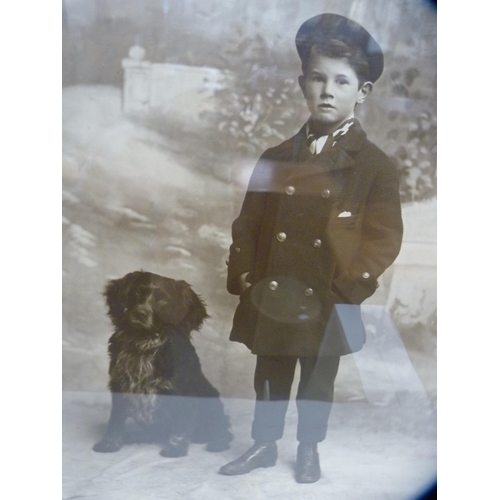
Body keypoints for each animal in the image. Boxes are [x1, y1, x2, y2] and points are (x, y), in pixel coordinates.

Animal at [92, 270, 232, 458]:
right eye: (138, 292)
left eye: (163, 300)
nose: (140, 313)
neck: (144, 343)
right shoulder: (119, 383)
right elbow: (116, 419)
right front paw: (109, 443)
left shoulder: (181, 390)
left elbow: (181, 423)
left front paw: (175, 448)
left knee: (223, 430)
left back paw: (217, 443)